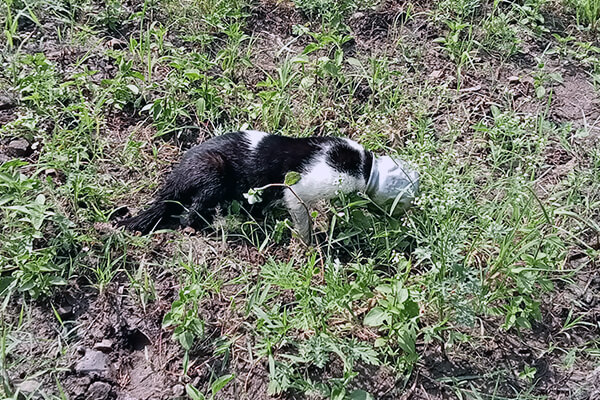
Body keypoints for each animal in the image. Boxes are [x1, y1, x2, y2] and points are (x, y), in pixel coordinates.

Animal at [119, 131, 420, 242]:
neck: (366, 167)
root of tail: (173, 178)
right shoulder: (297, 192)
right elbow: (304, 224)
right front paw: (308, 244)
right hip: (213, 172)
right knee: (190, 215)